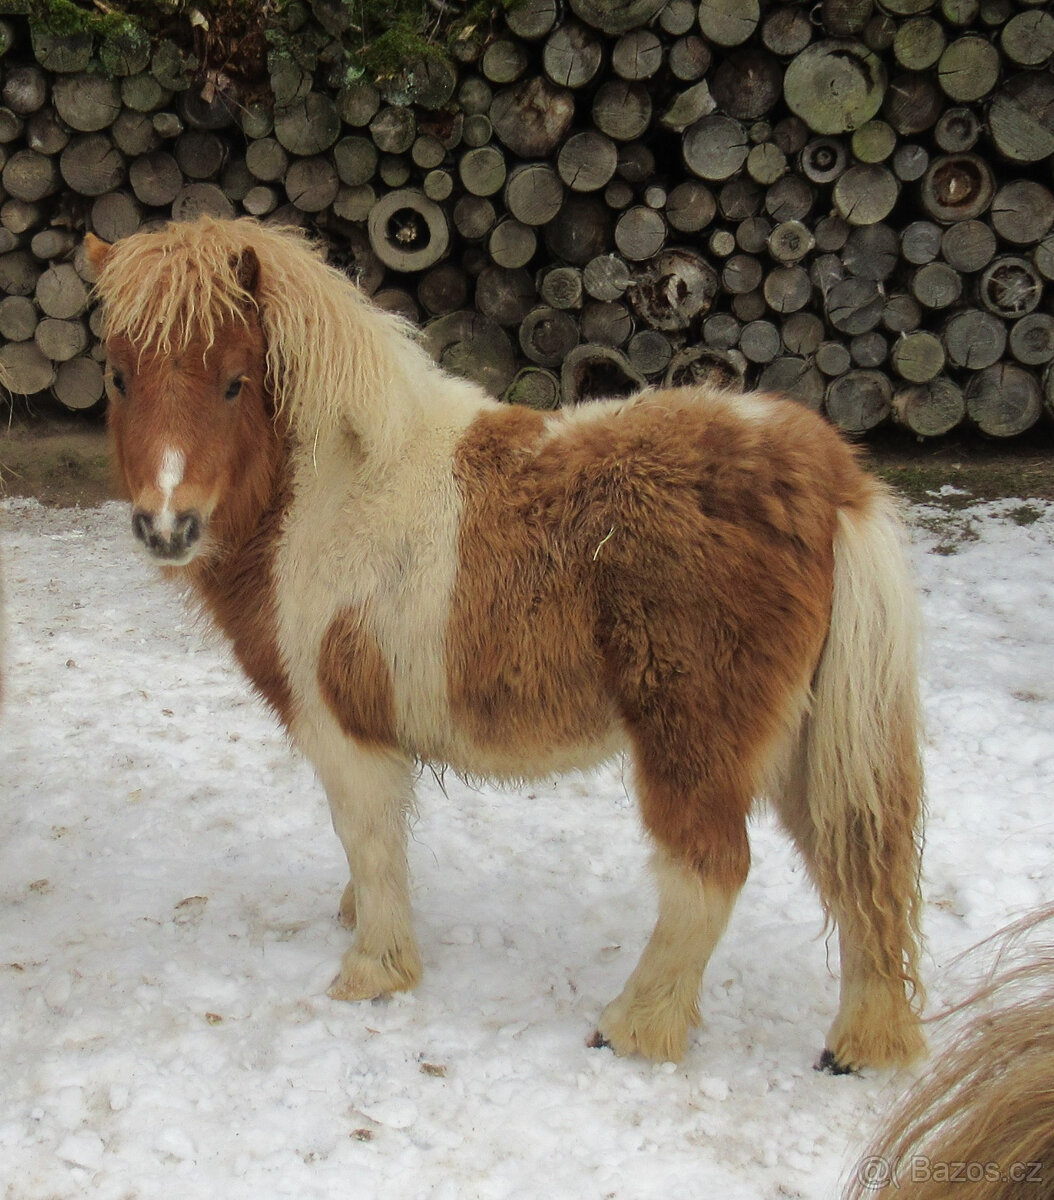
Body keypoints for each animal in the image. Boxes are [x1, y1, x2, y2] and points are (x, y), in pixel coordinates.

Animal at [84, 216, 925, 1072]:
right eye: (118, 377)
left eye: (234, 382)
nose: (167, 527)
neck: (332, 493)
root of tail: (828, 478)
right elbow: (374, 850)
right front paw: (359, 919)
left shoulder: (345, 728)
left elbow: (368, 838)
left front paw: (374, 971)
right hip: (804, 741)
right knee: (861, 863)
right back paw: (866, 1038)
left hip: (694, 741)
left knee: (713, 871)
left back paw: (637, 1026)